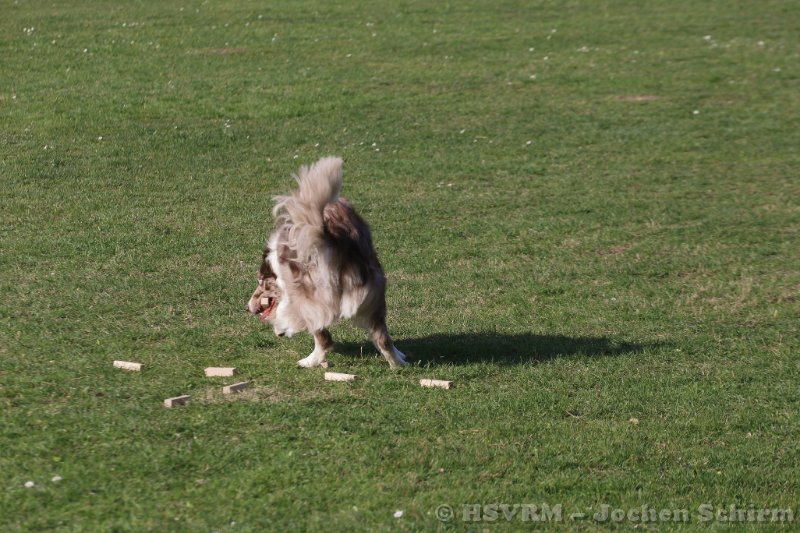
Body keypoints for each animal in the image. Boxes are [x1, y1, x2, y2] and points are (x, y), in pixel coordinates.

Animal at [246, 157, 406, 369]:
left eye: (260, 281)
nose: (246, 307)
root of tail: (330, 237)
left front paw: (281, 327)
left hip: (311, 300)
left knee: (324, 338)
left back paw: (309, 361)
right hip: (373, 297)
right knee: (383, 338)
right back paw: (397, 364)